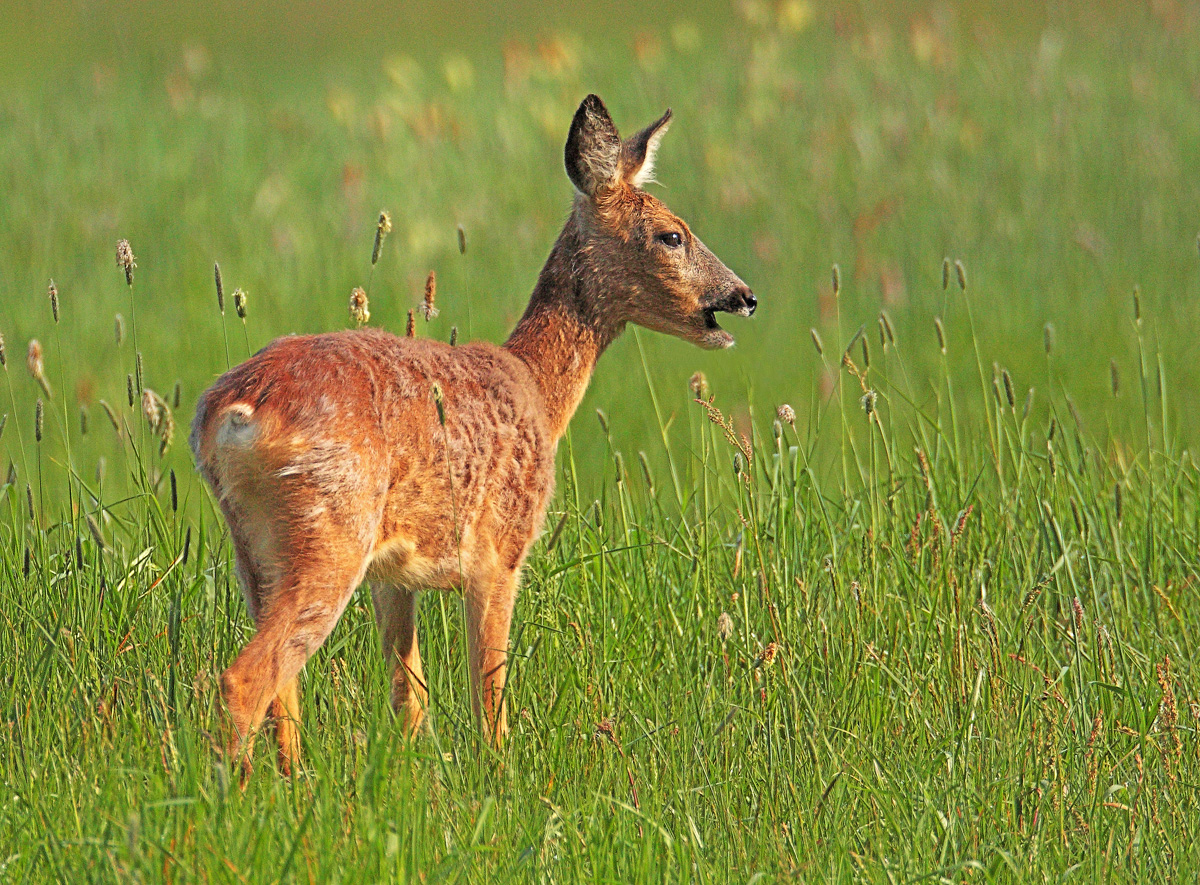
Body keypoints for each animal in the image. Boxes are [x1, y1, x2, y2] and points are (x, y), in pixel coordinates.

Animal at [188, 94, 753, 772]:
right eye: (672, 233)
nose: (743, 296)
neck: (537, 389)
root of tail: (234, 411)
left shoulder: (394, 575)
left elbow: (410, 694)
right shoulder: (501, 550)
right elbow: (490, 693)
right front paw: (502, 770)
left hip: (254, 550)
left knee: (282, 688)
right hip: (332, 529)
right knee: (245, 679)